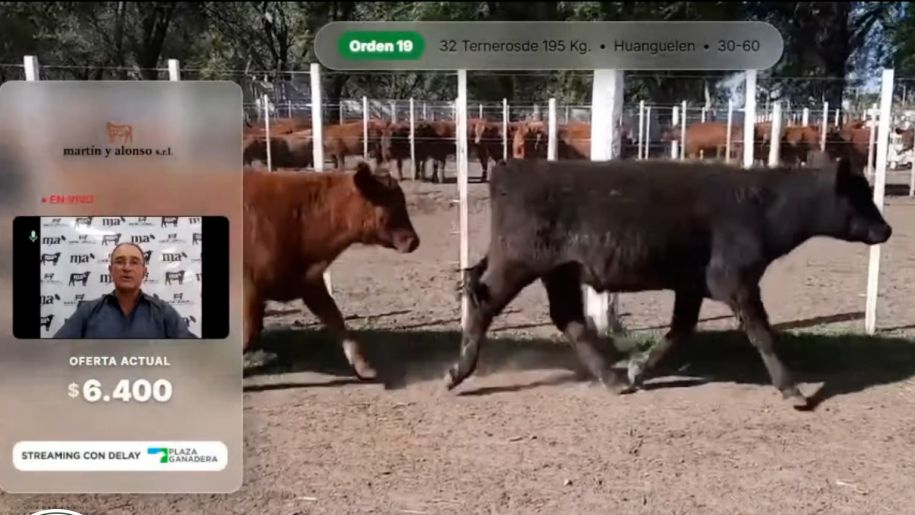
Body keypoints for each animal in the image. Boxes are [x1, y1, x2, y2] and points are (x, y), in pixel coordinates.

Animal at [244, 161, 420, 379]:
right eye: (391, 203)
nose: (414, 241)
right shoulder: (249, 290)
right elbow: (249, 334)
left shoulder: (309, 283)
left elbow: (336, 320)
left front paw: (364, 368)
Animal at [446, 155, 892, 410]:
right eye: (857, 194)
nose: (885, 229)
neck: (760, 203)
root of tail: (513, 167)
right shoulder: (736, 280)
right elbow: (762, 334)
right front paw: (792, 391)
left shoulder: (692, 284)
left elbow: (681, 330)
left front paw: (637, 369)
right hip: (518, 263)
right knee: (484, 302)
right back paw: (457, 371)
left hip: (560, 271)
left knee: (569, 319)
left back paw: (613, 381)